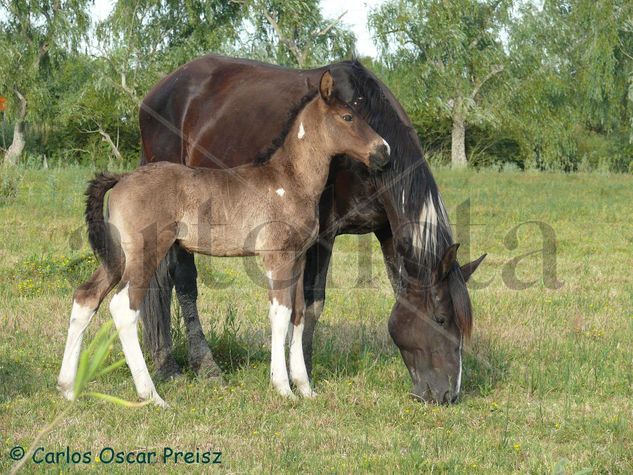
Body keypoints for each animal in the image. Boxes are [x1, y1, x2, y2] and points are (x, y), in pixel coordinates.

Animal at [56, 72, 388, 408]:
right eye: (348, 117)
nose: (383, 150)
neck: (288, 182)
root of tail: (121, 178)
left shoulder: (298, 257)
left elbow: (298, 313)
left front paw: (305, 388)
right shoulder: (277, 256)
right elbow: (280, 314)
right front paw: (282, 387)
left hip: (118, 255)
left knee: (86, 296)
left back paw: (67, 387)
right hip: (146, 251)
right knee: (124, 306)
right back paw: (152, 396)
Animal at [138, 55, 484, 406]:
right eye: (441, 319)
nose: (447, 394)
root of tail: (158, 91)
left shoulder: (387, 231)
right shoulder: (321, 238)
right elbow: (310, 305)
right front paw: (300, 372)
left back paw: (166, 362)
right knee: (183, 284)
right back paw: (195, 365)